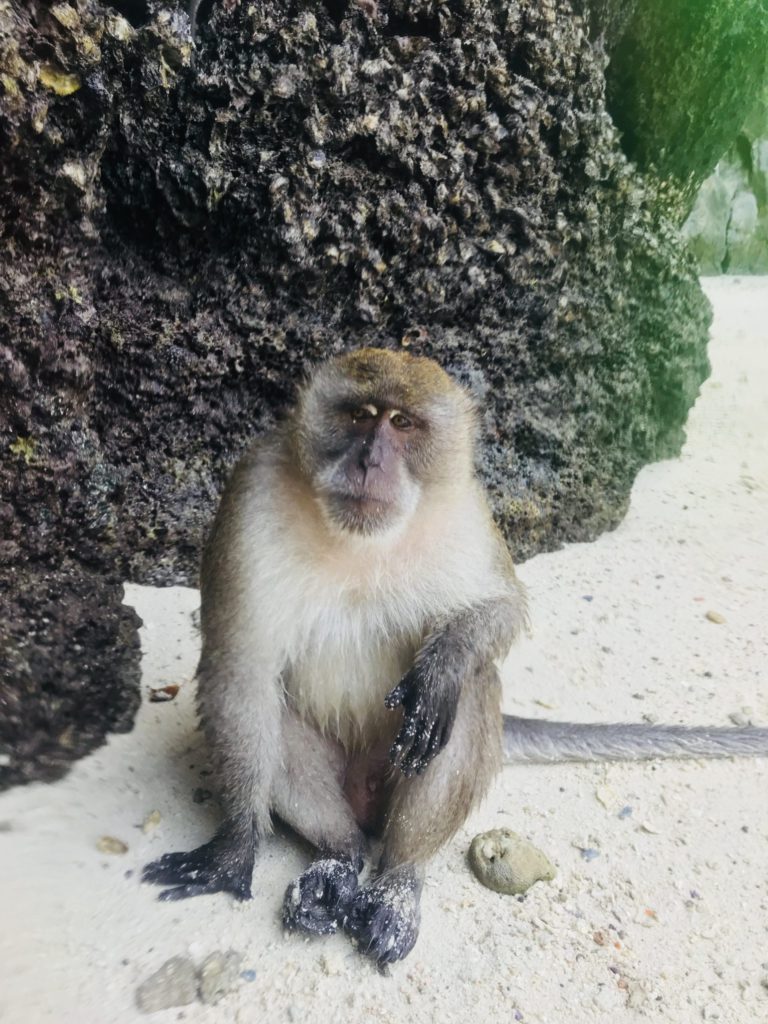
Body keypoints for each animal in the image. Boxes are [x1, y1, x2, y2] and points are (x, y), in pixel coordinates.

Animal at [143, 348, 768, 962]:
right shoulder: (253, 491)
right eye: (360, 415)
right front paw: (234, 845)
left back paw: (398, 880)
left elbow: (500, 608)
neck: (360, 541)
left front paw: (443, 663)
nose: (370, 461)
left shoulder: (467, 505)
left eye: (402, 423)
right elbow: (240, 668)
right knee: (277, 717)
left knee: (472, 691)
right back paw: (338, 858)